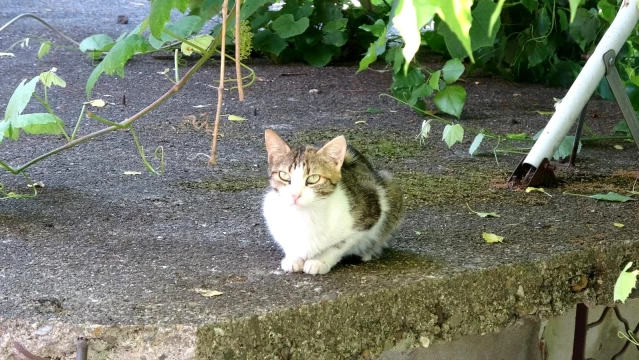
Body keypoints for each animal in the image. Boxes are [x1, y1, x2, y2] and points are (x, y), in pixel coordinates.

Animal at [262, 129, 402, 276]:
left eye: (313, 178)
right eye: (283, 175)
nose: (295, 195)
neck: (305, 215)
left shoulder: (369, 213)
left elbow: (340, 244)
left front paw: (319, 261)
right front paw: (294, 257)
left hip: (391, 188)